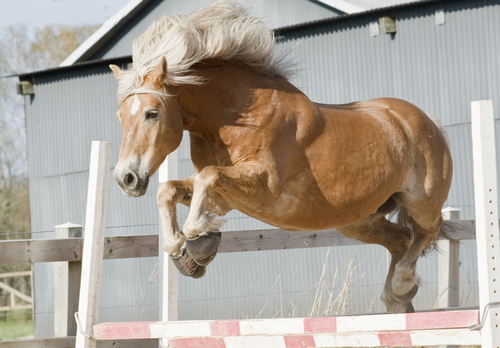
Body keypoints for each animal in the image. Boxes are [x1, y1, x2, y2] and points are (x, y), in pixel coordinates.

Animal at [110, 0, 454, 316]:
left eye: (151, 113)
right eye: (120, 116)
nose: (125, 178)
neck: (235, 115)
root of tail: (429, 123)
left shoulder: (265, 187)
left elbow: (208, 177)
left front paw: (200, 238)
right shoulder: (226, 197)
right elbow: (169, 189)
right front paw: (185, 253)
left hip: (420, 202)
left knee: (427, 230)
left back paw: (402, 283)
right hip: (359, 220)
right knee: (401, 239)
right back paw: (396, 299)